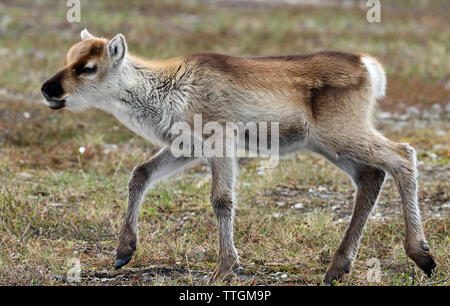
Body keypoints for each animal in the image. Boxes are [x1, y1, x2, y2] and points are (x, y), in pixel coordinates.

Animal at [42, 29, 436, 284]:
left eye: (87, 67)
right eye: (68, 57)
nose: (48, 88)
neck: (163, 91)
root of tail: (368, 66)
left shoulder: (219, 140)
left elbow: (221, 199)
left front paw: (226, 268)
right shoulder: (185, 148)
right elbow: (140, 173)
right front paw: (124, 250)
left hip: (342, 133)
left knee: (403, 155)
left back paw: (422, 255)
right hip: (329, 145)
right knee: (372, 175)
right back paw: (337, 268)